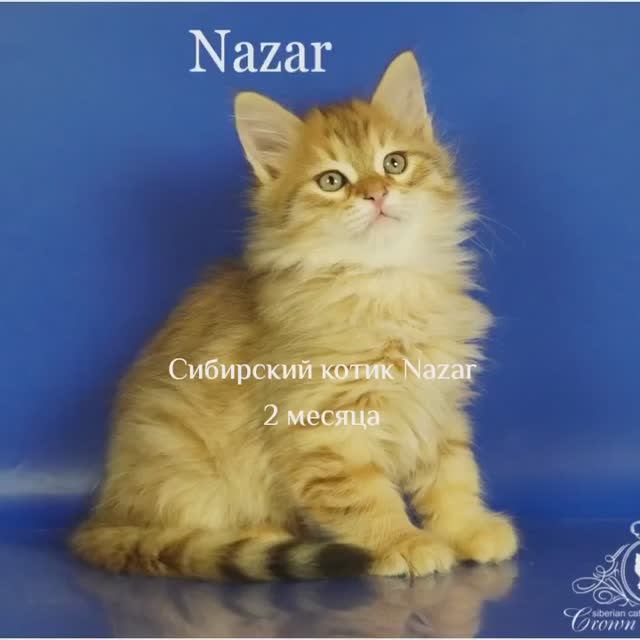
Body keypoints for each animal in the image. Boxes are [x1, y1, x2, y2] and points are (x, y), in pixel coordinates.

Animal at [71, 51, 518, 580]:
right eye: (332, 181)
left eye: (394, 163)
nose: (376, 193)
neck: (385, 286)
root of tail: (102, 514)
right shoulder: (326, 429)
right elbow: (366, 499)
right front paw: (405, 542)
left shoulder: (439, 405)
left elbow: (452, 476)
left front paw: (469, 528)